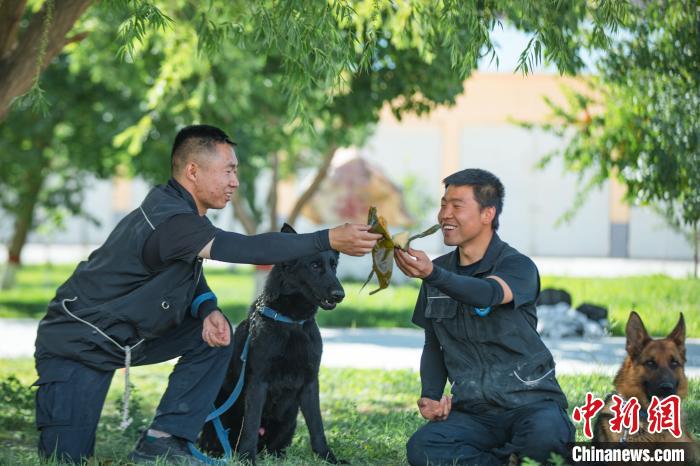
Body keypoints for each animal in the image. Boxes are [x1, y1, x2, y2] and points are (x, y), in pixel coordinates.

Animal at [198, 224, 346, 464]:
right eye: (314, 266)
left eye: (333, 266)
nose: (340, 295)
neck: (291, 322)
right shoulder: (259, 382)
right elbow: (250, 425)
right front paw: (247, 457)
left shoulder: (310, 383)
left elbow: (317, 426)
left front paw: (327, 457)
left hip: (290, 418)